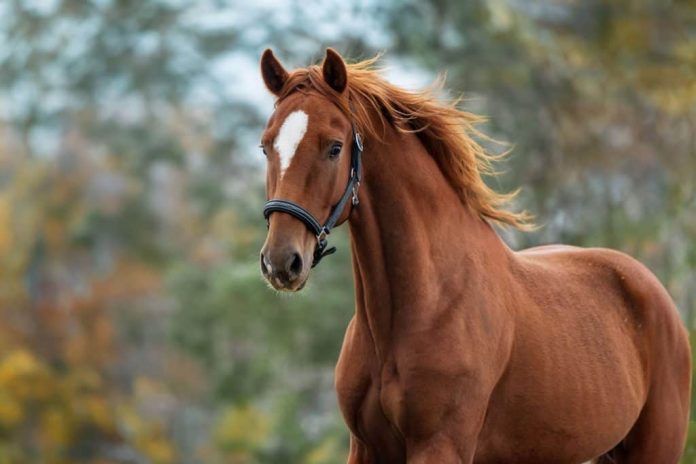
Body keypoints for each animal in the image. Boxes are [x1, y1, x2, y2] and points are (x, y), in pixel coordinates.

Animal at [257, 48, 691, 463]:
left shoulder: (440, 446)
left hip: (654, 449)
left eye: (334, 147)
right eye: (266, 147)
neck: (421, 306)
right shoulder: (366, 448)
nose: (281, 262)